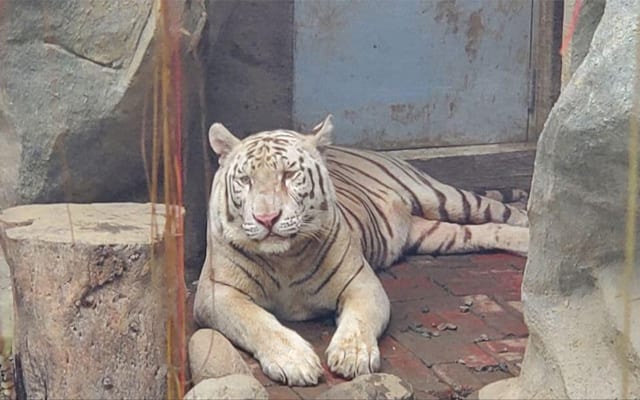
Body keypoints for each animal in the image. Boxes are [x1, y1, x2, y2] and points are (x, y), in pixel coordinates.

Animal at [193, 115, 528, 386]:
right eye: (245, 180)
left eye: (289, 175)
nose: (267, 218)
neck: (285, 258)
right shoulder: (217, 292)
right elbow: (257, 322)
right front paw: (295, 360)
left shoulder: (362, 282)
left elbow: (359, 320)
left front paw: (352, 355)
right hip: (436, 234)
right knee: (487, 230)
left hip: (443, 197)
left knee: (505, 212)